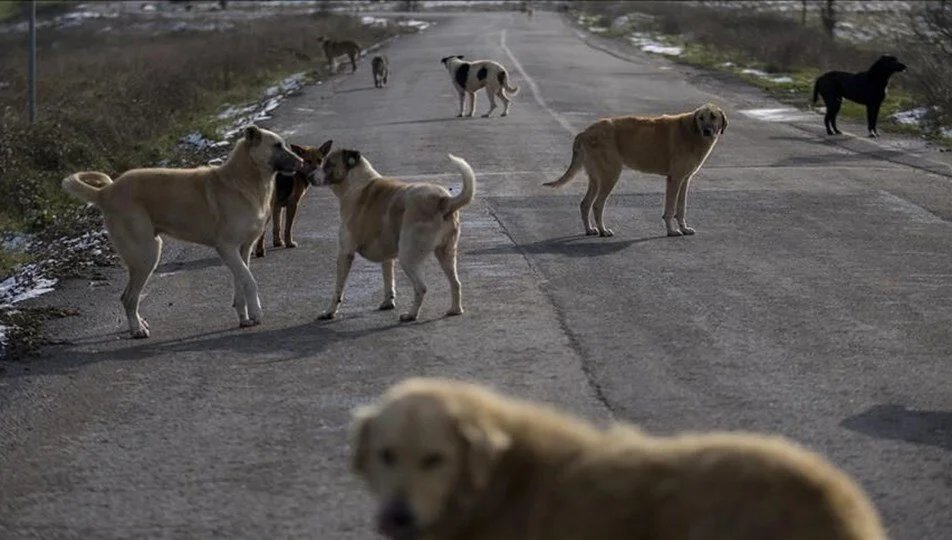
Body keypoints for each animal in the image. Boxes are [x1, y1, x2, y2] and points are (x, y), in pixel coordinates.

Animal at [62, 126, 302, 338]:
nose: (301, 162)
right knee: (128, 298)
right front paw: (257, 313)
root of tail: (105, 192)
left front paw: (244, 317)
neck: (244, 179)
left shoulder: (242, 249)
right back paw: (137, 330)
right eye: (277, 145)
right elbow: (250, 281)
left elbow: (241, 282)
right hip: (146, 255)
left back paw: (139, 324)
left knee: (129, 296)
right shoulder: (226, 248)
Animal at [314, 143, 474, 322]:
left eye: (328, 164)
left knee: (421, 287)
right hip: (446, 253)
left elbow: (338, 289)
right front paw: (388, 302)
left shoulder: (345, 253)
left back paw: (411, 314)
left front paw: (329, 311)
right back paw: (455, 310)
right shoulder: (387, 255)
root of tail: (444, 200)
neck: (356, 183)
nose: (309, 176)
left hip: (408, 257)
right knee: (455, 283)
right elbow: (388, 279)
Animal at [544, 103, 728, 236]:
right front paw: (671, 231)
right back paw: (603, 230)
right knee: (597, 204)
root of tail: (584, 132)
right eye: (701, 118)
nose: (706, 131)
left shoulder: (684, 180)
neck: (692, 132)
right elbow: (670, 209)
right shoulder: (674, 179)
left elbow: (681, 208)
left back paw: (590, 230)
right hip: (610, 175)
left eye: (713, 117)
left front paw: (684, 228)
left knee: (585, 204)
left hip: (597, 178)